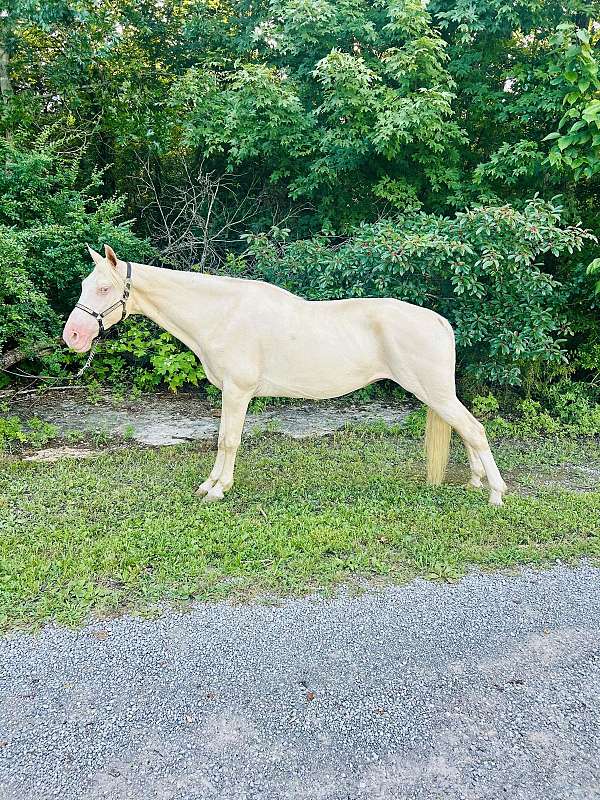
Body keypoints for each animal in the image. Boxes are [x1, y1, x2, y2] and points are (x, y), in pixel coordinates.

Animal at [63, 245, 507, 505]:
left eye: (103, 289)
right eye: (85, 284)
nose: (73, 336)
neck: (222, 314)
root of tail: (439, 320)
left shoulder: (238, 391)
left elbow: (228, 440)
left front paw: (217, 491)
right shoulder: (230, 393)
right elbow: (222, 440)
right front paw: (209, 485)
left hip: (434, 392)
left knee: (475, 429)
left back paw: (496, 494)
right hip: (437, 395)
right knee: (466, 430)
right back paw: (475, 483)